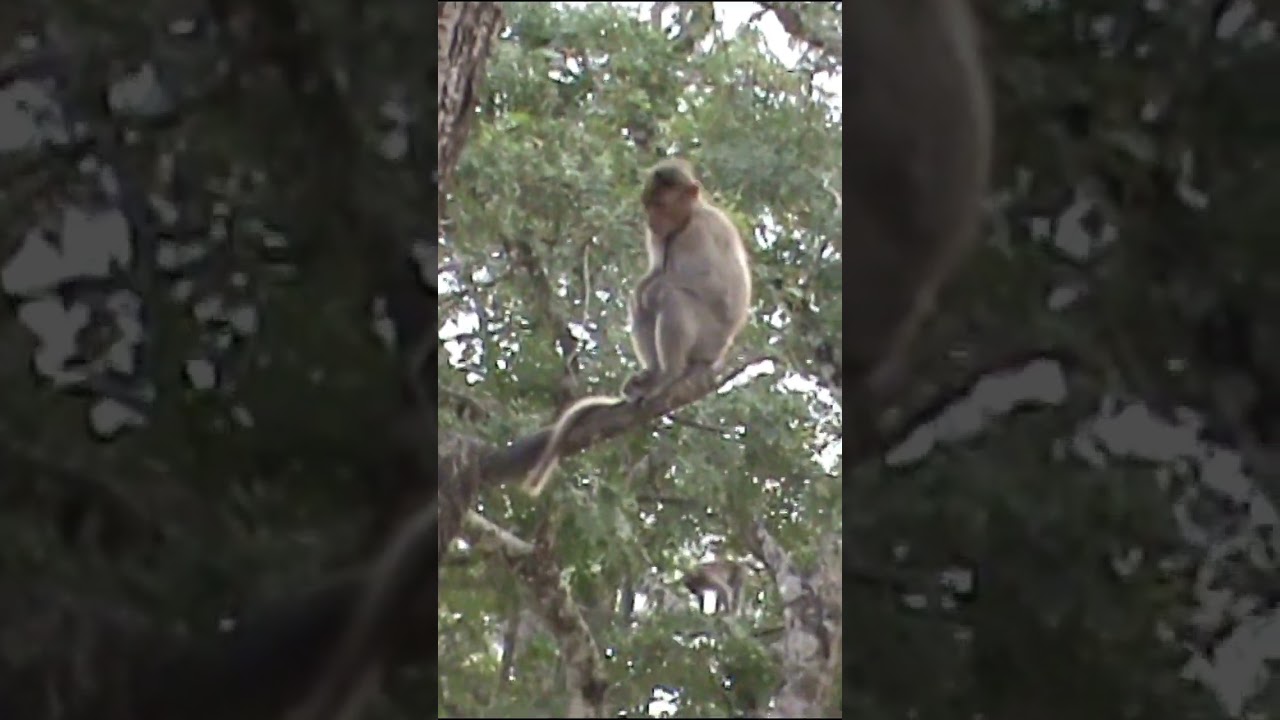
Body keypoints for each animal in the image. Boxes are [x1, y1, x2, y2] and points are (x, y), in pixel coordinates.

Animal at [520, 158, 752, 497]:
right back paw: (653, 374)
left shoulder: (702, 231)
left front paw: (658, 287)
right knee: (643, 302)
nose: (652, 221)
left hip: (710, 339)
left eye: (661, 205)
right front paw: (646, 284)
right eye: (649, 207)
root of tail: (718, 356)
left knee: (670, 297)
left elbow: (716, 288)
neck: (685, 222)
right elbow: (650, 278)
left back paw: (668, 373)